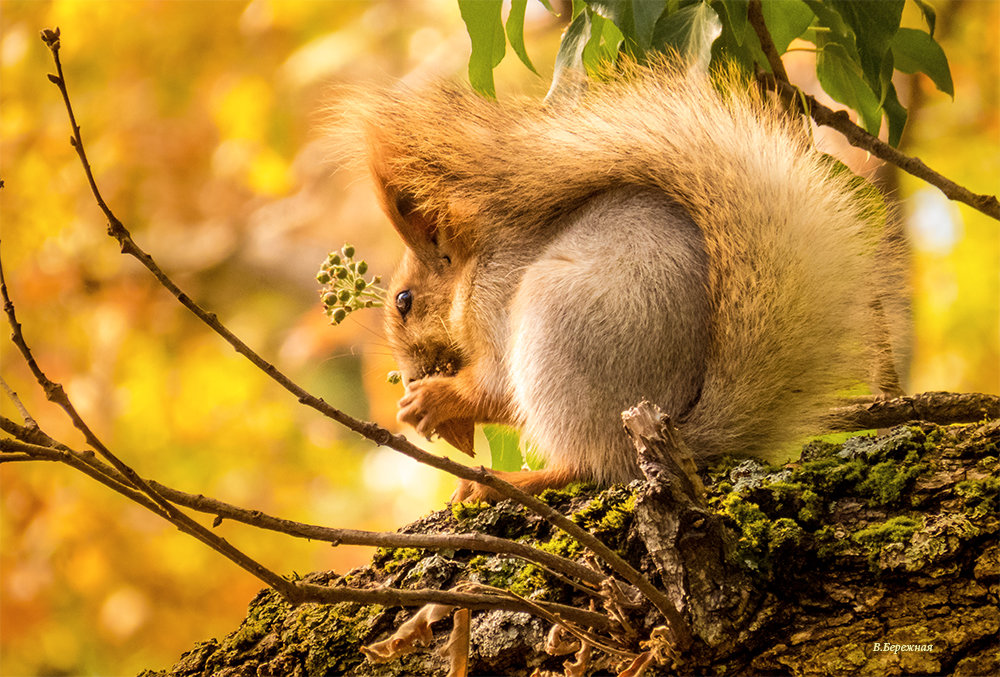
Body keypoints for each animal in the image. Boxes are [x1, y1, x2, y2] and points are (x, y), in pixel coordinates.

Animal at [344, 60, 908, 502]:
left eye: (404, 301)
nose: (410, 376)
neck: (474, 267)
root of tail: (683, 433)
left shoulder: (496, 298)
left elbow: (496, 388)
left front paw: (433, 400)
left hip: (556, 334)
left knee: (590, 463)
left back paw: (508, 482)